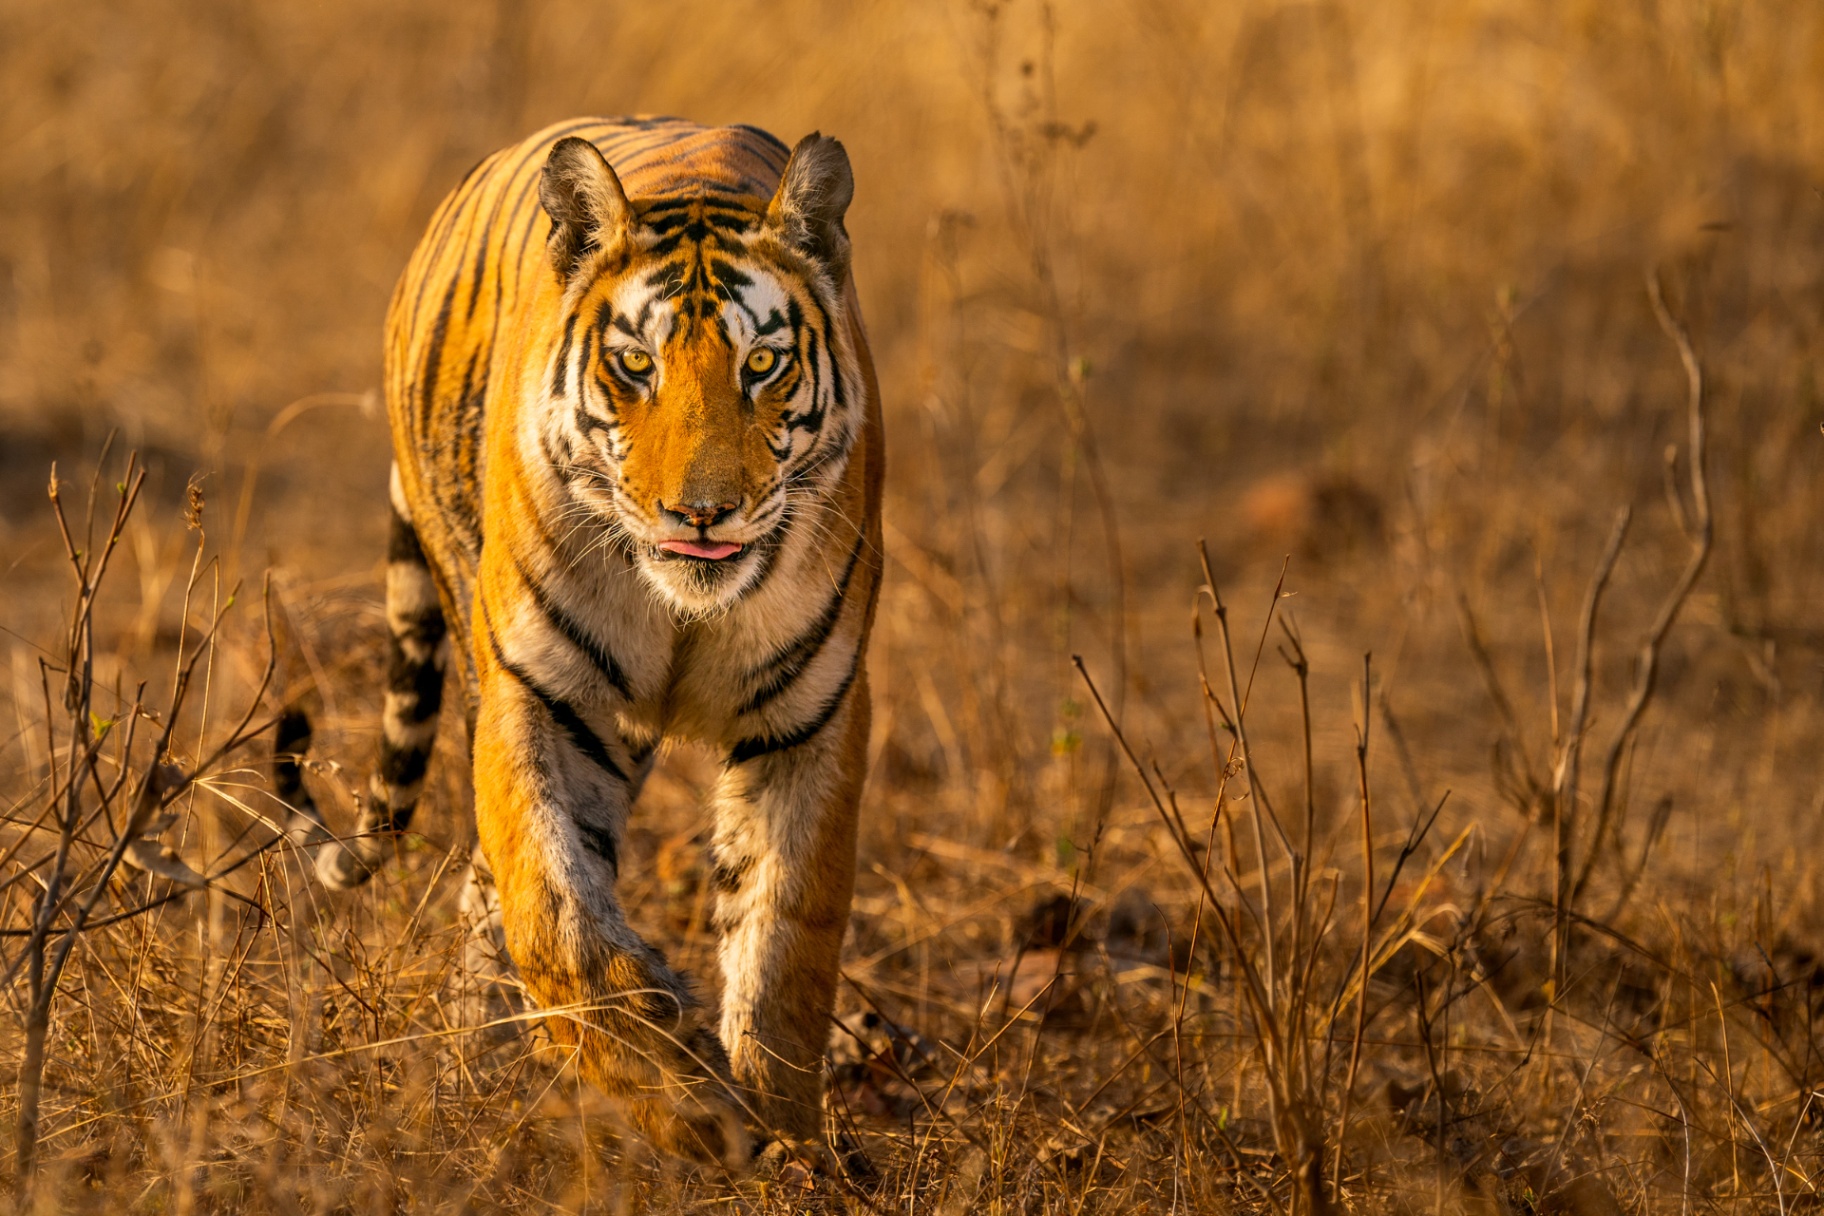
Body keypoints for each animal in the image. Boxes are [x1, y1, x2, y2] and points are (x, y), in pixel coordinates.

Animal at [278, 117, 883, 1168]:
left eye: (761, 366)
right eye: (636, 365)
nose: (701, 514)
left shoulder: (813, 718)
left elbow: (786, 942)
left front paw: (789, 1145)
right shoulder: (541, 694)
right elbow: (552, 913)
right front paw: (685, 1098)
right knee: (492, 890)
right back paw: (473, 1075)